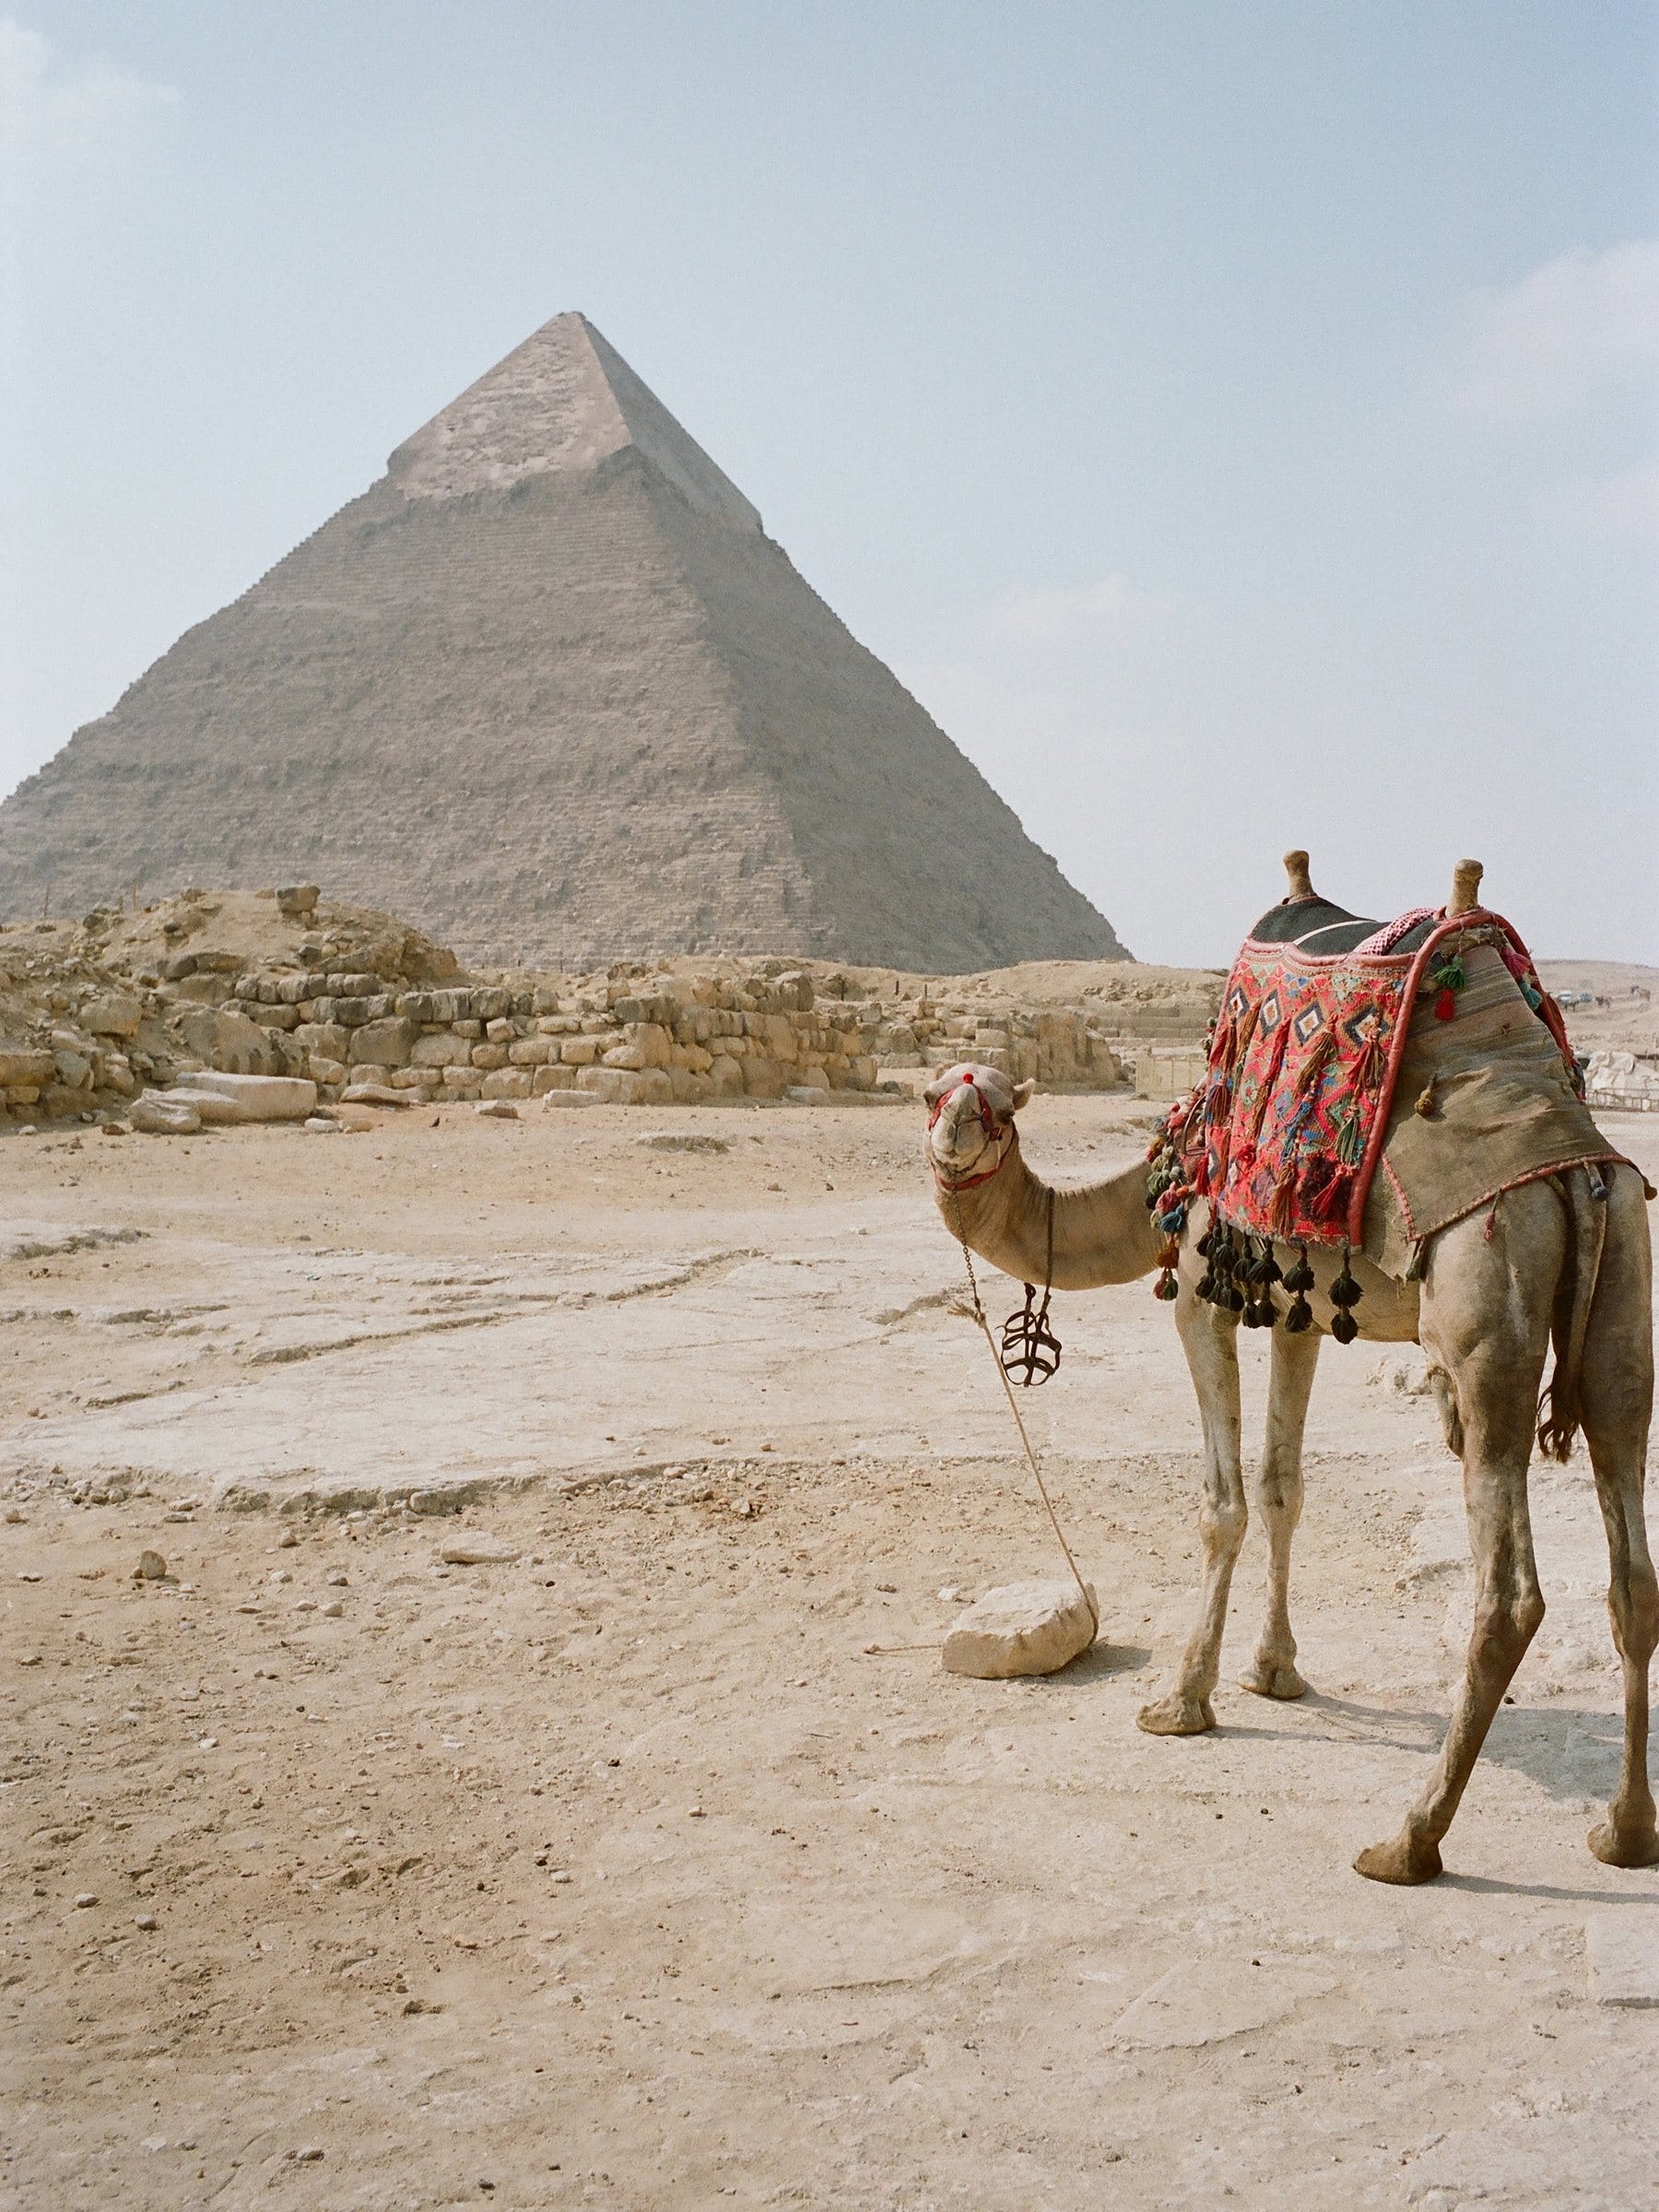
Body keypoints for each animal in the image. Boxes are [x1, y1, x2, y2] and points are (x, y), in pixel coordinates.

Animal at [925, 862, 1656, 1884]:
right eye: (932, 1093)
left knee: (1509, 1591)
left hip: (1490, 1304)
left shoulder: (1202, 1288)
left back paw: (1409, 1840)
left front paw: (1182, 1702)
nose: (954, 1132)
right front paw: (1275, 1673)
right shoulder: (1300, 1306)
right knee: (1634, 1565)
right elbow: (1283, 1486)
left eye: (998, 1104)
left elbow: (1223, 1503)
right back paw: (1625, 1833)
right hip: (1626, 1271)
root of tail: (1571, 1167)